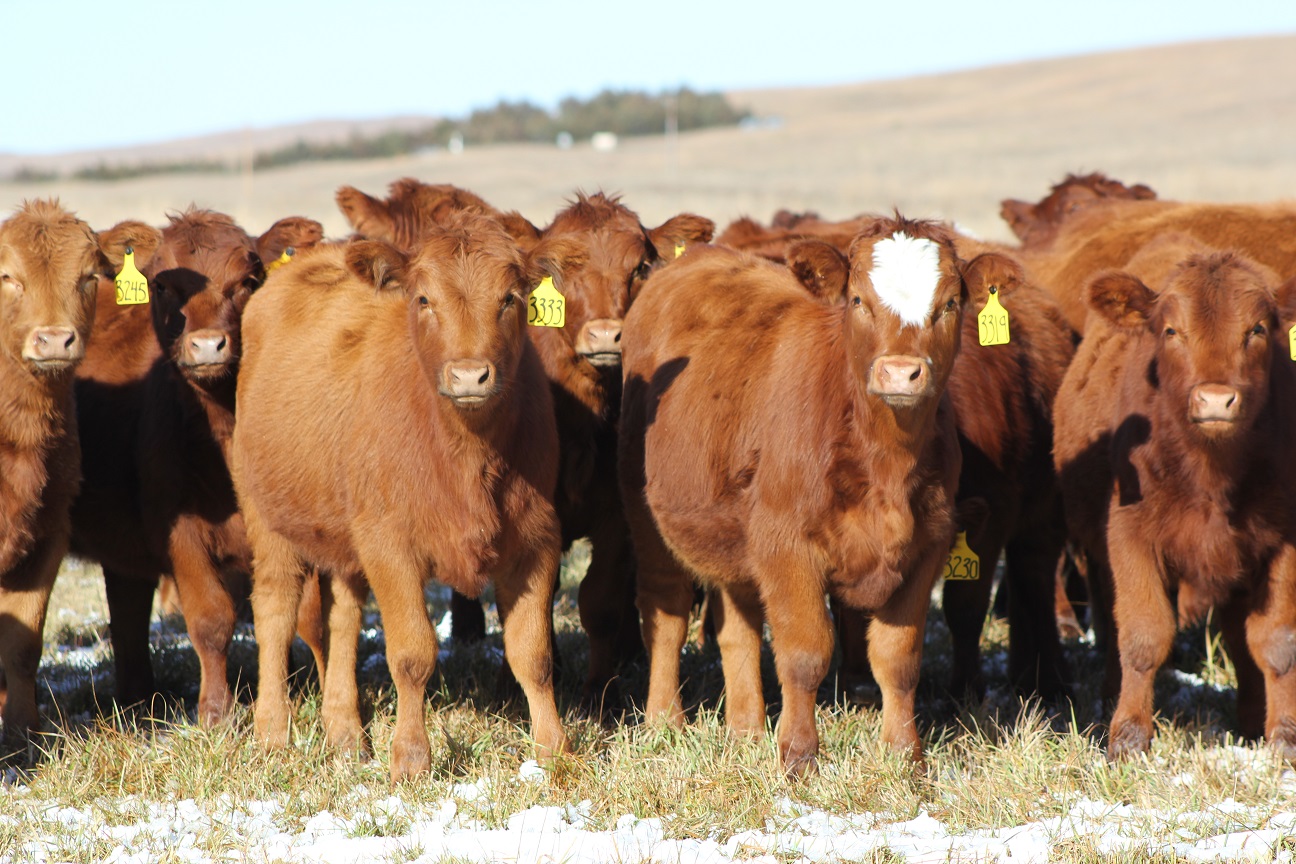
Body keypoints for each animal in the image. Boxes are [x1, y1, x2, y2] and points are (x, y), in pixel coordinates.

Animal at [68, 205, 326, 720]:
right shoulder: (179, 533)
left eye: (248, 279)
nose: (208, 345)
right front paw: (216, 711)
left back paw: (138, 702)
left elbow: (307, 620)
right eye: (163, 285)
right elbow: (211, 618)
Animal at [231, 212, 578, 782]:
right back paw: (271, 735)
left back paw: (346, 734)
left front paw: (555, 752)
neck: (466, 452)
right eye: (423, 299)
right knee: (276, 612)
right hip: (268, 517)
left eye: (510, 297)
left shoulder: (537, 541)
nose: (469, 374)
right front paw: (411, 758)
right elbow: (412, 654)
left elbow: (534, 655)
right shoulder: (390, 545)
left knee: (343, 617)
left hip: (346, 534)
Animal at [616, 217, 1010, 777]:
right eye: (858, 300)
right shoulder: (787, 546)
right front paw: (799, 756)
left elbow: (898, 658)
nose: (901, 372)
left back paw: (745, 730)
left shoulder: (927, 548)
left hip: (734, 533)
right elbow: (805, 654)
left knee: (737, 627)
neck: (884, 461)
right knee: (666, 613)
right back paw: (664, 721)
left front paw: (904, 754)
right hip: (647, 515)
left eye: (951, 302)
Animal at [1052, 246, 1296, 761]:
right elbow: (1143, 637)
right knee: (1112, 626)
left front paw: (1284, 737)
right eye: (1170, 331)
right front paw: (1127, 737)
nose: (1216, 399)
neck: (1211, 474)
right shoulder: (1129, 536)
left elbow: (1276, 641)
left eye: (1257, 329)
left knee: (1237, 633)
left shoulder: (1282, 541)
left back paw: (1250, 719)